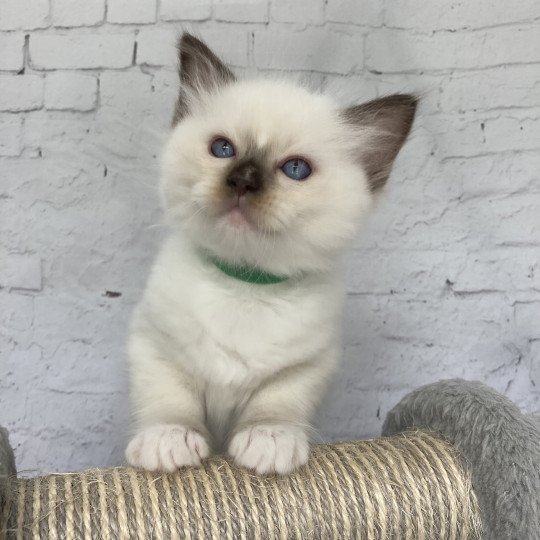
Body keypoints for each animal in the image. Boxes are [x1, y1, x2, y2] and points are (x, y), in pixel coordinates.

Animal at [123, 32, 418, 472]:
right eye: (222, 149)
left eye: (295, 170)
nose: (243, 180)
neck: (245, 283)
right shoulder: (154, 347)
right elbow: (170, 402)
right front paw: (169, 441)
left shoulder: (307, 366)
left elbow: (275, 405)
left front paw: (268, 443)